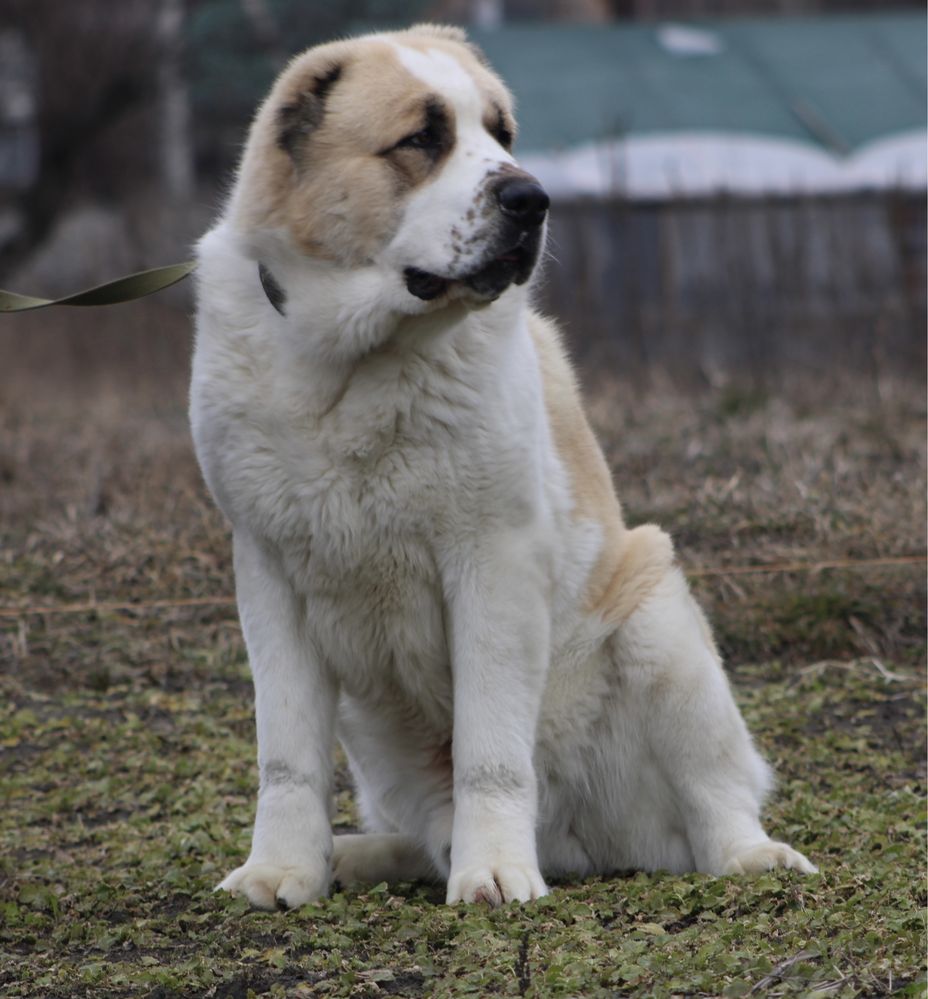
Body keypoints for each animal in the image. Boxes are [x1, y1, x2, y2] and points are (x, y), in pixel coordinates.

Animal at [192, 23, 816, 916]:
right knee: (423, 834)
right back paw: (356, 855)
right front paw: (282, 869)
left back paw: (751, 855)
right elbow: (287, 755)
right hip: (374, 727)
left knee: (713, 800)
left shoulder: (493, 562)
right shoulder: (269, 574)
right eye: (422, 139)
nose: (532, 198)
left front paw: (491, 873)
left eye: (501, 133)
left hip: (657, 614)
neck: (353, 362)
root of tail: (577, 845)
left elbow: (489, 746)